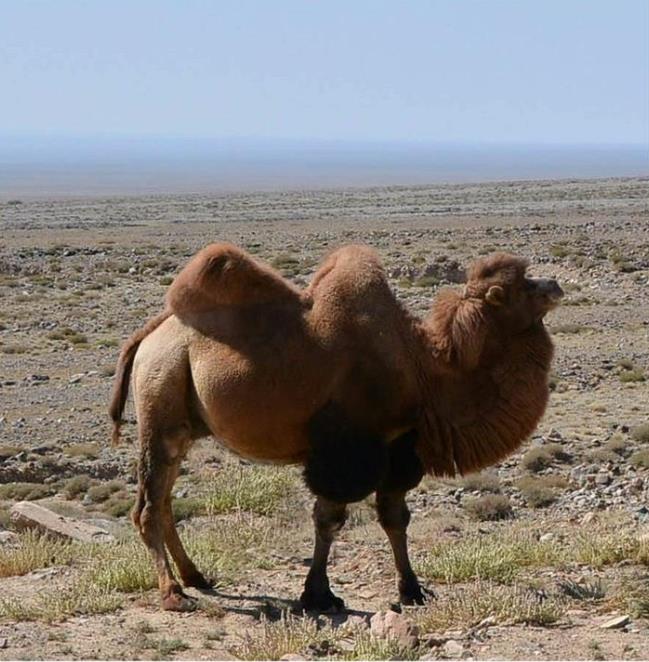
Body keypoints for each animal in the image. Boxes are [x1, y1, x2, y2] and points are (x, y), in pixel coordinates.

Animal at [109, 246, 560, 616]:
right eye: (520, 287)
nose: (554, 284)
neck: (424, 366)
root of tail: (150, 334)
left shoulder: (397, 445)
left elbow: (394, 518)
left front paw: (412, 591)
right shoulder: (345, 449)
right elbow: (329, 520)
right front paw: (319, 596)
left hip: (182, 418)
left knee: (165, 499)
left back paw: (196, 577)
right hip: (161, 397)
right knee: (148, 505)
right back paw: (172, 594)